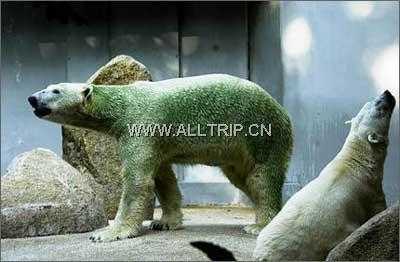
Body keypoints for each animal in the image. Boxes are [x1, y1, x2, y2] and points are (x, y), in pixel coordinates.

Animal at [26, 73, 292, 242]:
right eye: (48, 86)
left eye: (56, 90)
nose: (32, 98)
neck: (123, 106)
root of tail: (282, 109)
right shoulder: (156, 142)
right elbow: (164, 178)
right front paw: (165, 222)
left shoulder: (140, 127)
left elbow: (137, 181)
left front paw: (107, 233)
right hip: (239, 149)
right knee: (242, 178)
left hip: (261, 133)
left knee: (261, 177)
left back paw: (260, 226)